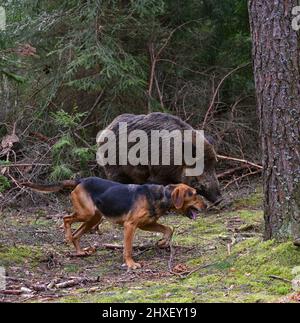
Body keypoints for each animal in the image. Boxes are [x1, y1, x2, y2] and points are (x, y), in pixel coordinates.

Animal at [22, 178, 206, 270]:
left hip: (94, 218)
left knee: (77, 233)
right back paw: (67, 237)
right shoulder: (130, 225)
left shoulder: (146, 224)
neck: (162, 195)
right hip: (86, 213)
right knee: (66, 219)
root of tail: (80, 180)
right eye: (194, 194)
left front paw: (162, 242)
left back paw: (80, 252)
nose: (207, 205)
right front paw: (131, 264)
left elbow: (168, 229)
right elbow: (128, 248)